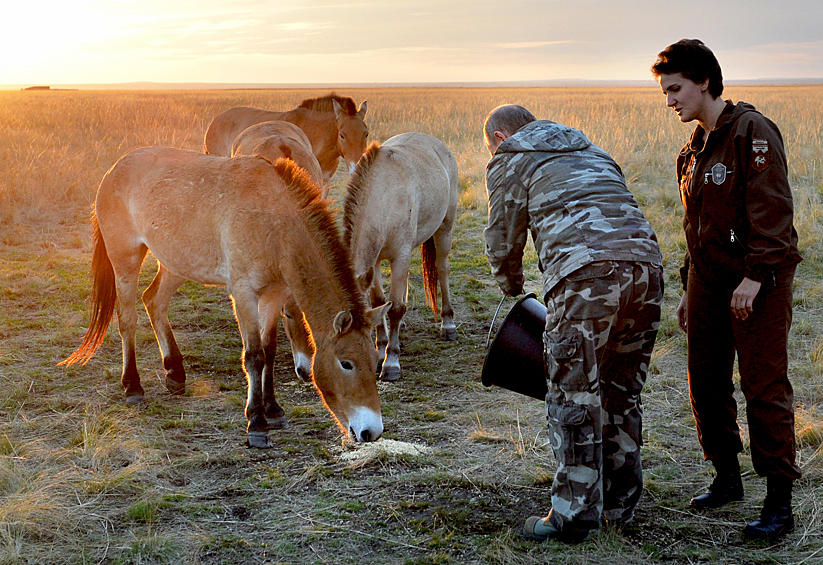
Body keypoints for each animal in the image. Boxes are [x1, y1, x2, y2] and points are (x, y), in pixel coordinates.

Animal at [61, 148, 390, 448]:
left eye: (375, 361)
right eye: (346, 363)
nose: (371, 431)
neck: (274, 222)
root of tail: (114, 169)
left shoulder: (274, 295)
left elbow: (269, 351)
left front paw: (273, 410)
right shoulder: (243, 294)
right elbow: (254, 356)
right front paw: (256, 422)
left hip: (176, 263)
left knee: (154, 300)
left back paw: (174, 372)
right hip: (125, 260)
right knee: (128, 318)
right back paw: (132, 387)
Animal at [340, 131, 458, 384]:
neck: (383, 197)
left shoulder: (400, 256)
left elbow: (394, 308)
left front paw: (391, 361)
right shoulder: (374, 263)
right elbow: (379, 302)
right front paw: (381, 347)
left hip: (444, 229)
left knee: (442, 270)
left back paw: (448, 324)